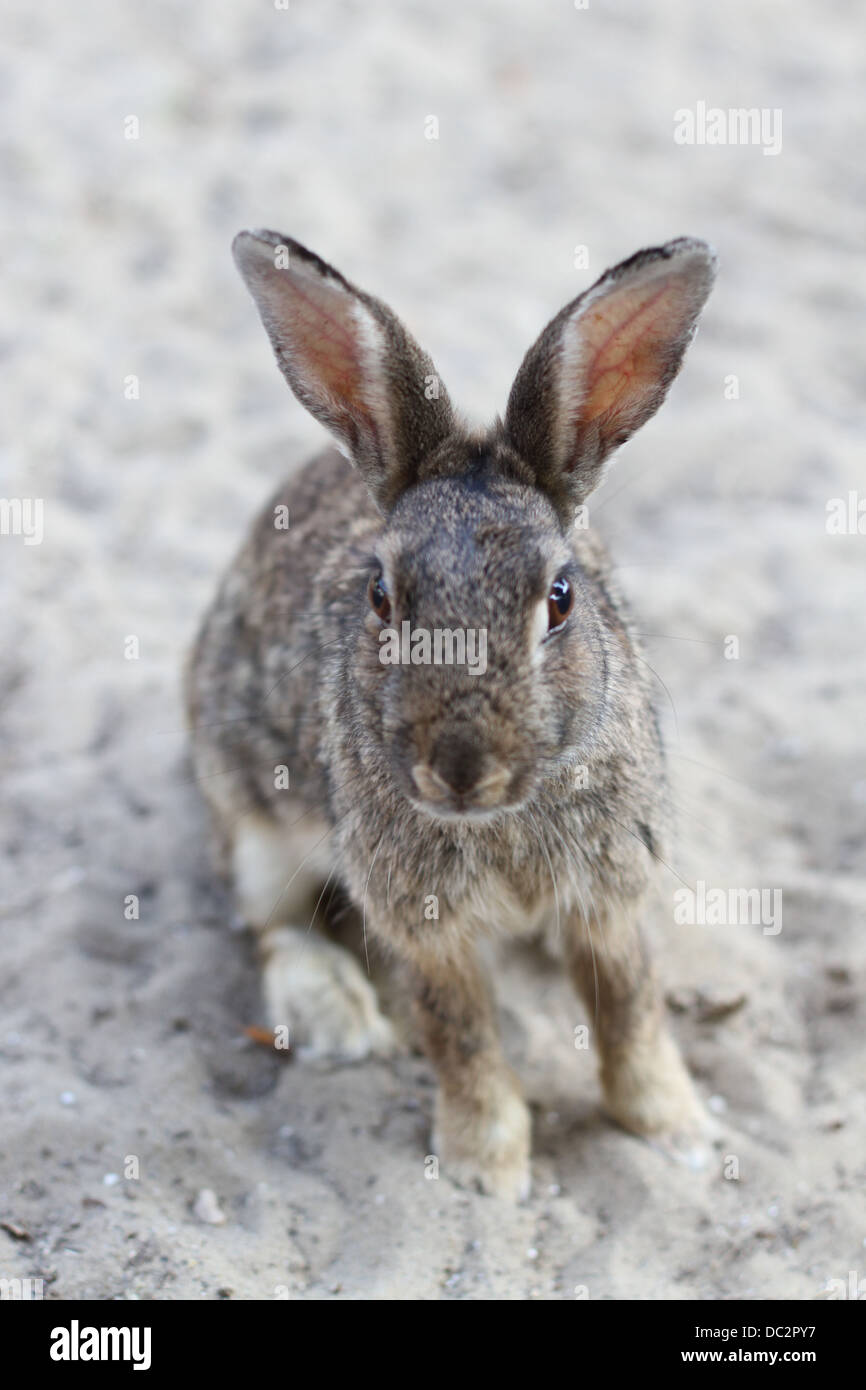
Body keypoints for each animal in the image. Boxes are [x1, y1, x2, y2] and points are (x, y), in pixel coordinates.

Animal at [187, 225, 717, 1195]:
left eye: (560, 598)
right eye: (381, 597)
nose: (462, 767)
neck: (502, 818)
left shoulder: (610, 890)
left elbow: (630, 1006)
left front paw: (676, 1130)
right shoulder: (423, 922)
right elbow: (460, 1031)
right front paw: (486, 1166)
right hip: (251, 823)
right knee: (269, 927)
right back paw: (338, 1016)